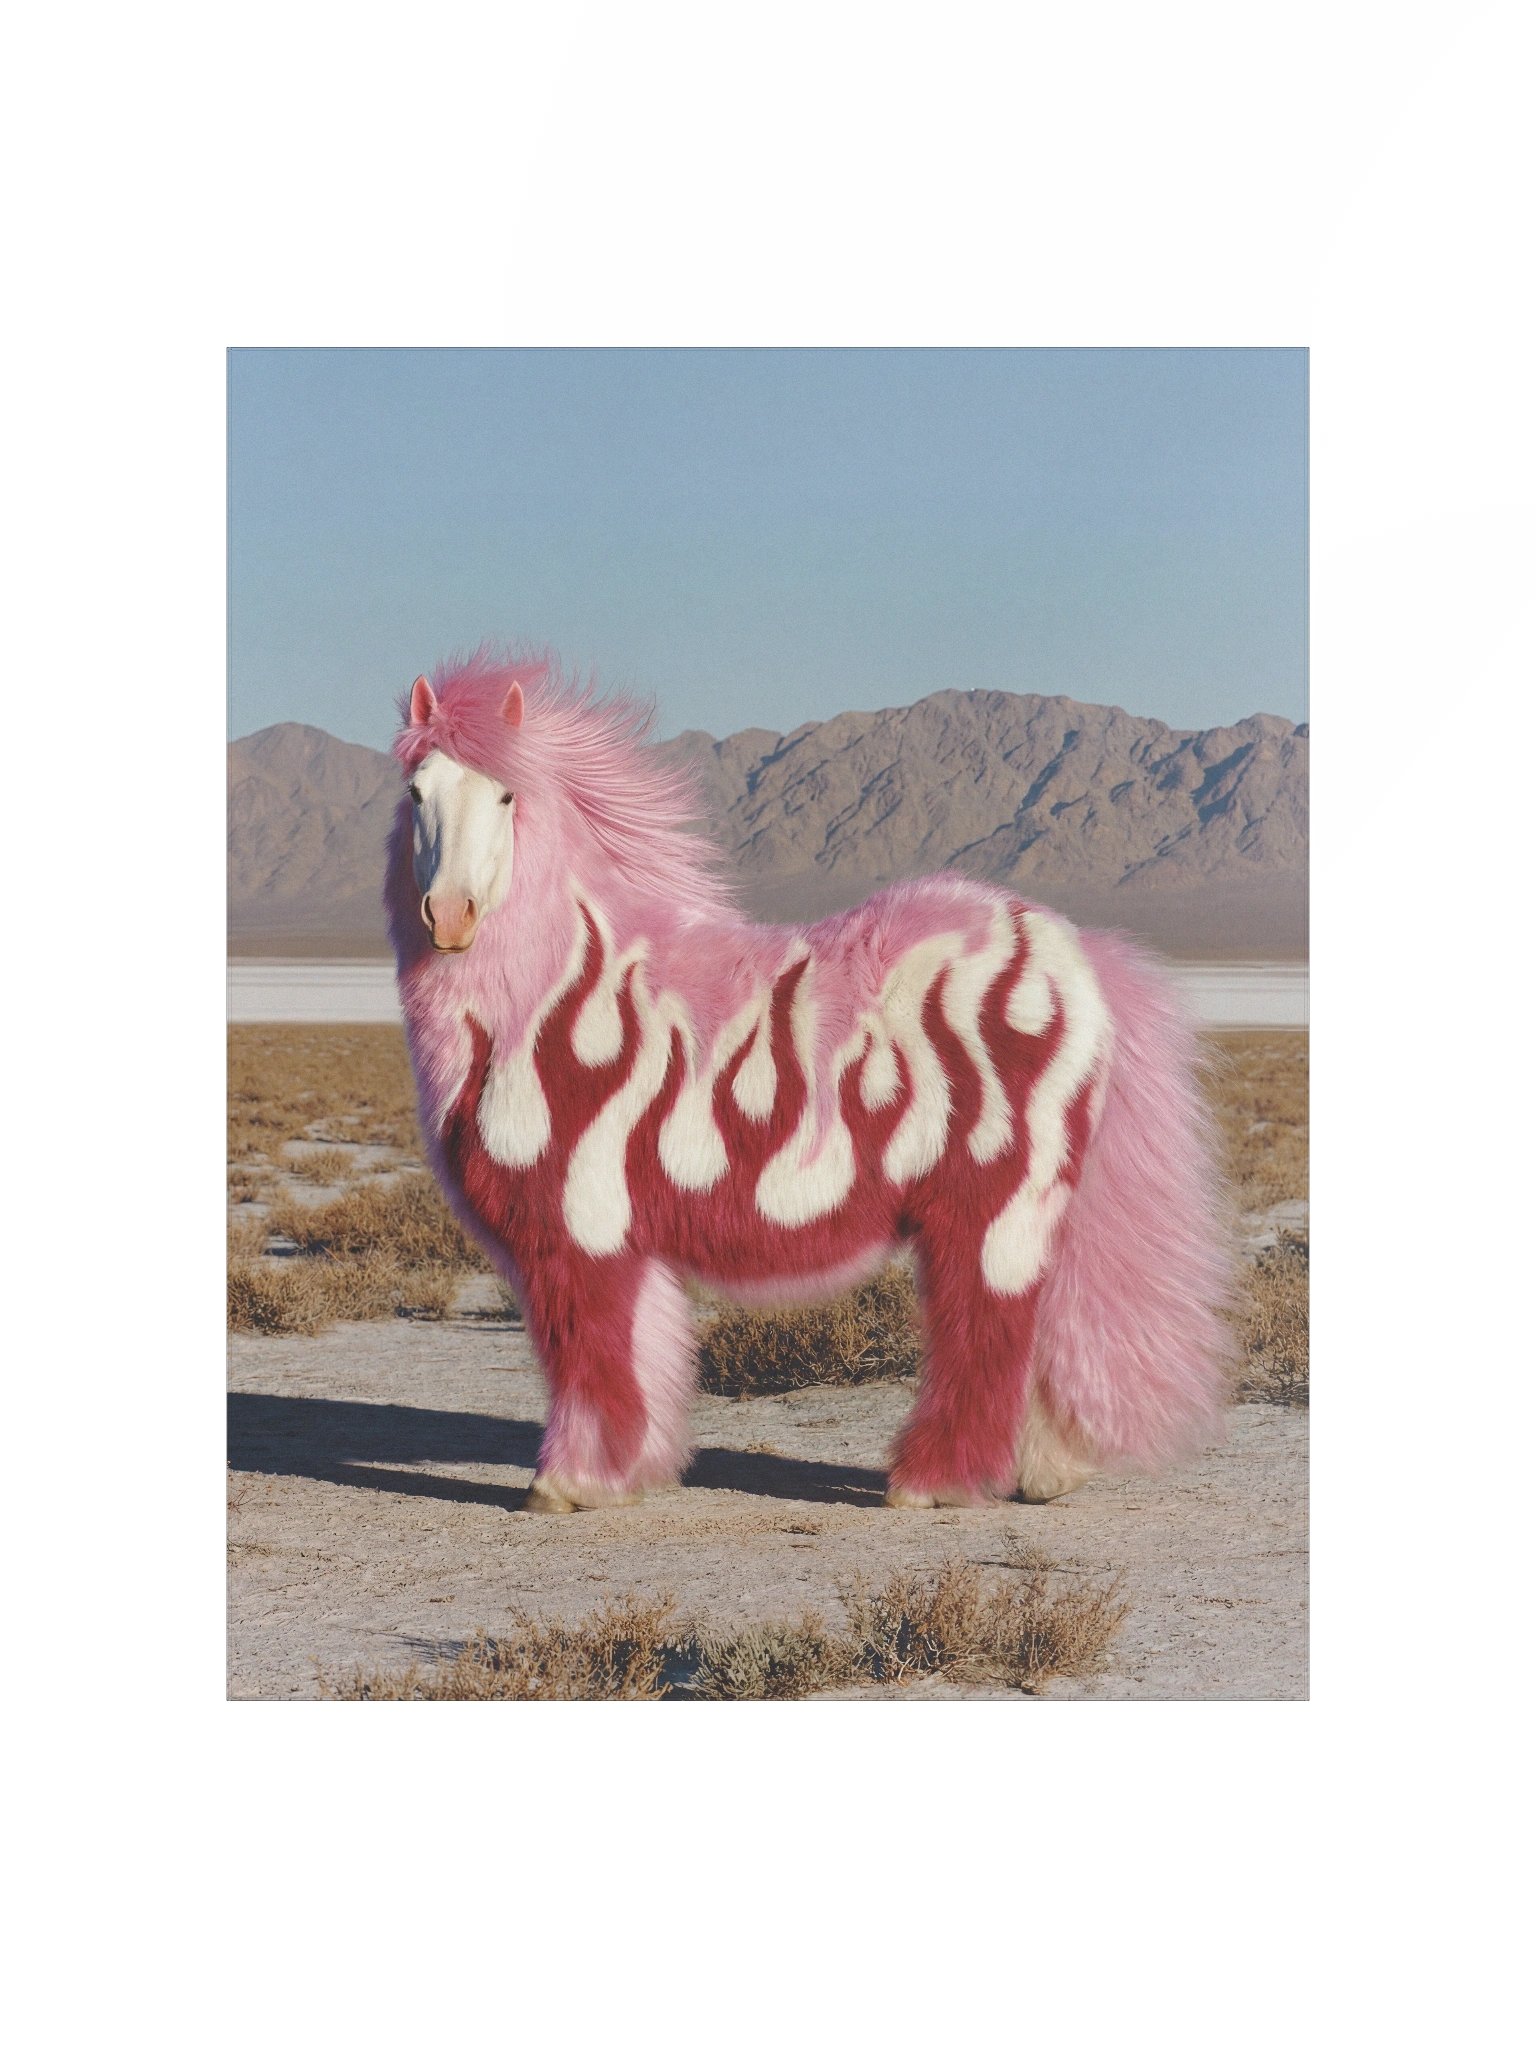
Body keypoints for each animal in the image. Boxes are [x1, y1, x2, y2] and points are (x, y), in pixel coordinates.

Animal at [385, 649, 1232, 1514]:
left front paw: (570, 1483)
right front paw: (635, 1472)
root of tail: (1073, 947)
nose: (449, 917)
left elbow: (591, 1358)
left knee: (985, 1330)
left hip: (989, 1201)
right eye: (415, 792)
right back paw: (1042, 1472)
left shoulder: (580, 1226)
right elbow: (644, 1359)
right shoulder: (624, 1236)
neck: (550, 998)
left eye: (506, 794)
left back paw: (931, 1483)